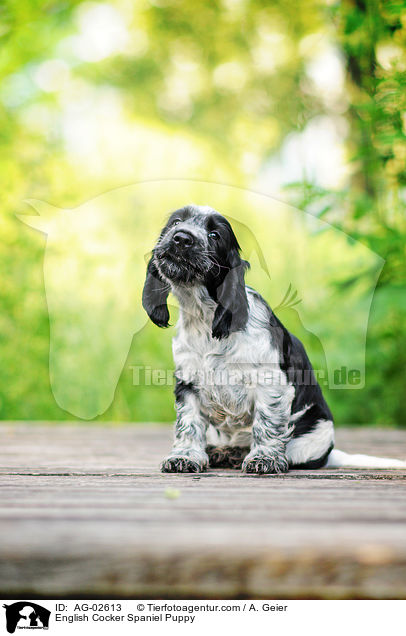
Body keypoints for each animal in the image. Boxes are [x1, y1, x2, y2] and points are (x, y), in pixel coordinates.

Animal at [143, 204, 406, 472]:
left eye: (214, 235)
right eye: (176, 223)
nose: (181, 238)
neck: (203, 317)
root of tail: (330, 454)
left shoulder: (270, 382)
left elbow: (267, 423)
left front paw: (264, 459)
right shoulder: (188, 383)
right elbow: (188, 424)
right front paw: (185, 457)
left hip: (315, 434)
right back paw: (224, 452)